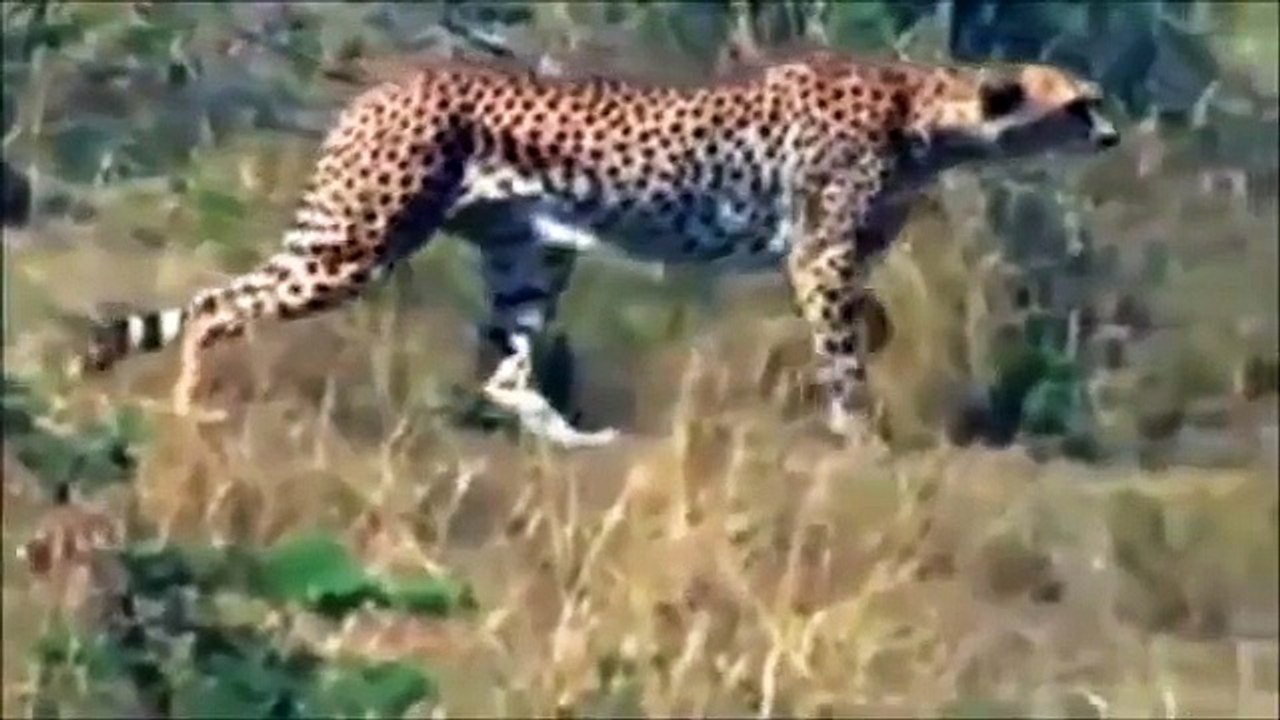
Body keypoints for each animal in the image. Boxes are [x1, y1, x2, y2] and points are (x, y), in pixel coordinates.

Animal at [79, 48, 1119, 448]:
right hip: (357, 240)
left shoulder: (841, 257)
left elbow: (868, 324)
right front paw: (859, 433)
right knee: (216, 306)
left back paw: (574, 442)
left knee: (504, 368)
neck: (926, 110)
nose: (1113, 133)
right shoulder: (819, 256)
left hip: (532, 254)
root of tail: (386, 83)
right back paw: (192, 401)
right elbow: (843, 353)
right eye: (1082, 103)